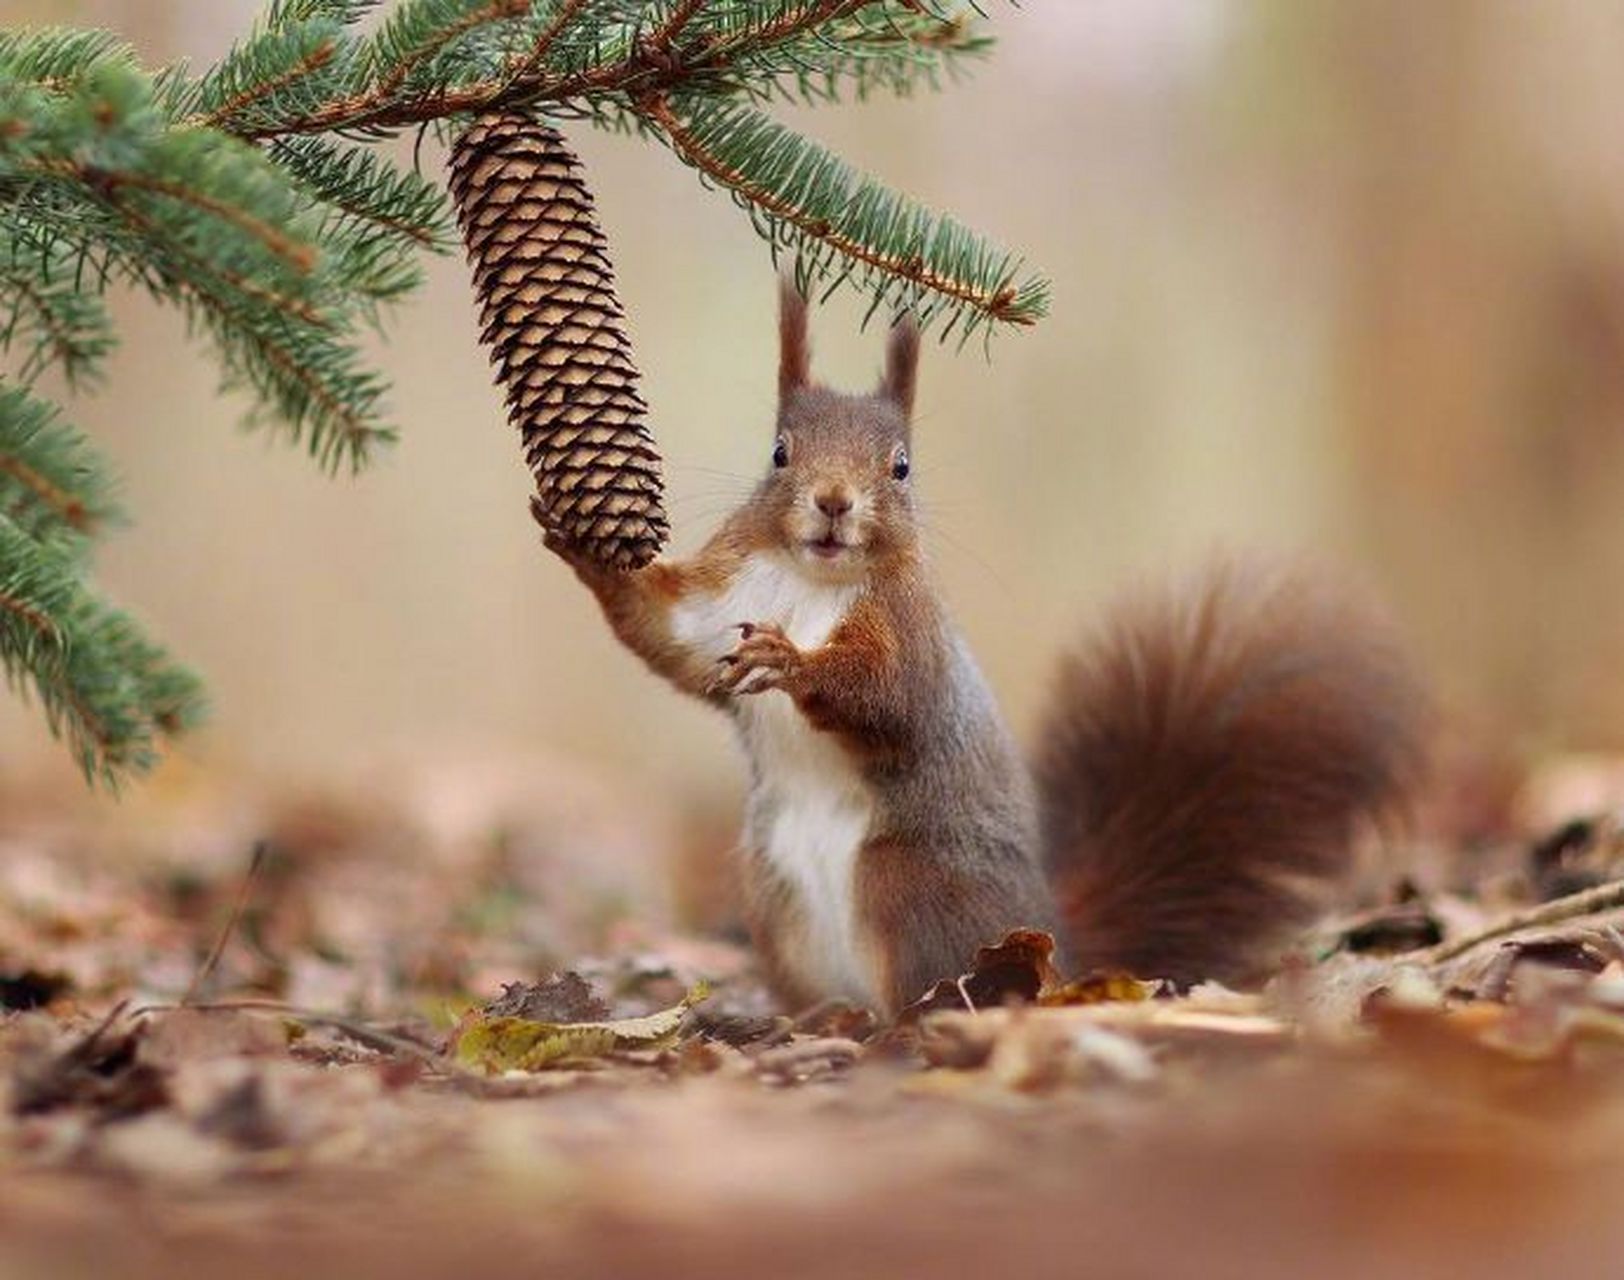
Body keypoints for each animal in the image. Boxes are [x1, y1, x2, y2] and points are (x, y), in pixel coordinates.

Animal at [548, 284, 1422, 1013]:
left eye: (901, 466)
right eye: (779, 452)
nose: (833, 503)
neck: (808, 579)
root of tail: (1053, 942)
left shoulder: (911, 632)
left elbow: (888, 695)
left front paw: (796, 662)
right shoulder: (722, 603)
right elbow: (670, 637)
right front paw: (587, 551)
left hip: (904, 883)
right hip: (775, 896)